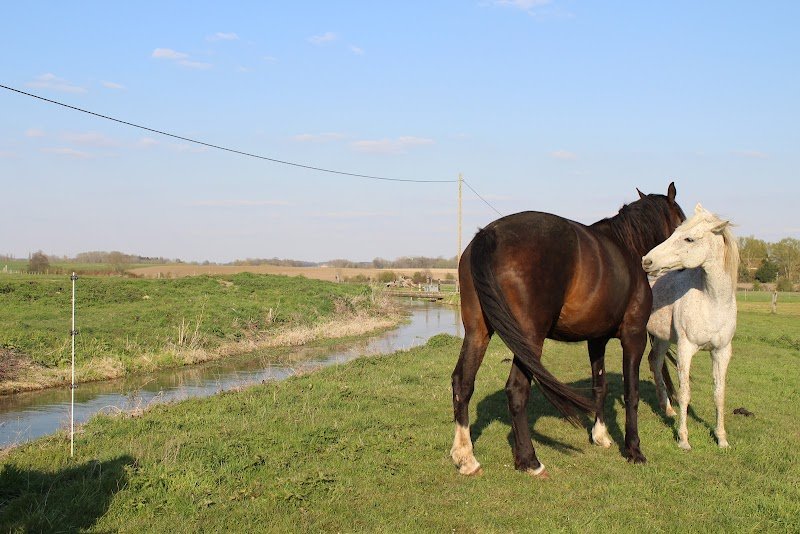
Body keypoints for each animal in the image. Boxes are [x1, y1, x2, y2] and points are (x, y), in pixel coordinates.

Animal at [451, 183, 686, 478]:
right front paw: (634, 450)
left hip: (477, 332)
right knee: (517, 389)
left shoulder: (596, 340)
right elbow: (631, 393)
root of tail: (489, 234)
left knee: (463, 383)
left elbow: (600, 386)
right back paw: (529, 461)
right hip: (529, 340)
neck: (627, 248)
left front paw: (601, 435)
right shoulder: (634, 337)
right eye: (682, 222)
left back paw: (466, 457)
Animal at [643, 204, 739, 450]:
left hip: (662, 338)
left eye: (689, 239)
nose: (647, 260)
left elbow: (719, 394)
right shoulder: (686, 349)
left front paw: (722, 439)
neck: (712, 301)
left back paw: (667, 409)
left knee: (655, 361)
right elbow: (685, 393)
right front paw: (684, 439)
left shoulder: (721, 352)